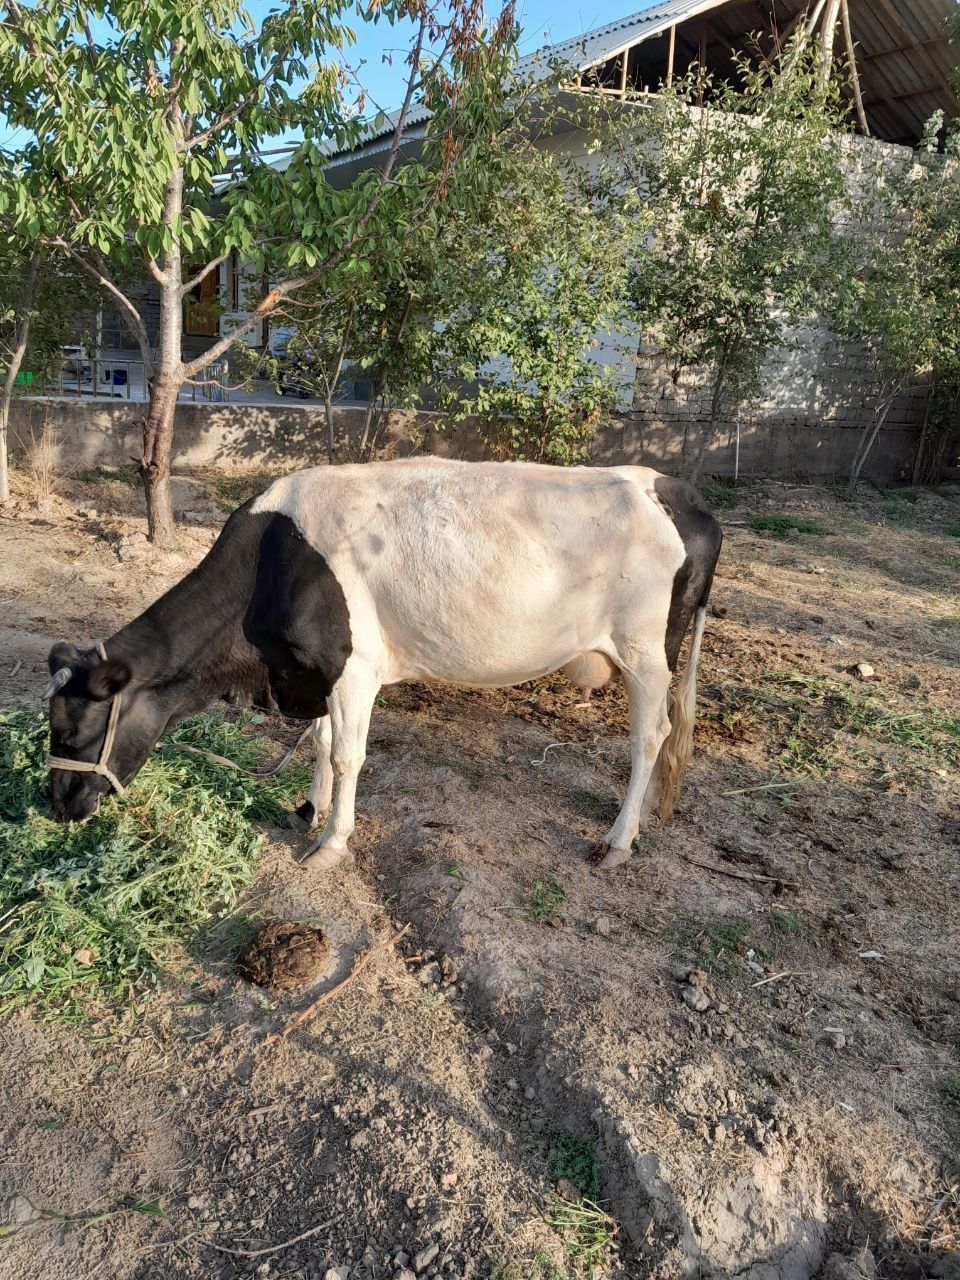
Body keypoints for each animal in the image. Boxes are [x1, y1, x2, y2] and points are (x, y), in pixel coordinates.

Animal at [45, 458, 721, 870]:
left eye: (73, 732)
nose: (56, 806)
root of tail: (669, 486)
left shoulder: (355, 667)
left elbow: (348, 754)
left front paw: (331, 842)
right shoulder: (315, 668)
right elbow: (321, 743)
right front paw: (310, 809)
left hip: (646, 653)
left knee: (650, 738)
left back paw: (618, 840)